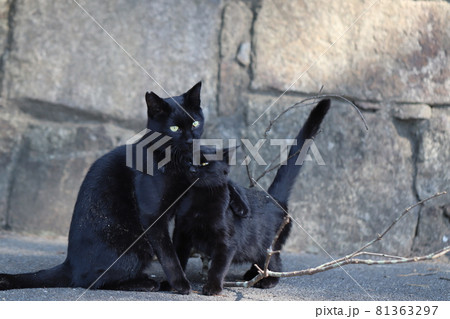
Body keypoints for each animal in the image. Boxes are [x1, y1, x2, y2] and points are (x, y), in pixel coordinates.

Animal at [0, 83, 208, 296]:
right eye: (174, 128)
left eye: (195, 124)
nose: (191, 140)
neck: (174, 162)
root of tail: (71, 264)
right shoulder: (152, 217)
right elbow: (168, 254)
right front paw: (180, 284)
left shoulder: (180, 213)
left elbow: (178, 249)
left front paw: (174, 282)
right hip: (134, 247)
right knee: (92, 281)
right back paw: (144, 282)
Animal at [172, 99, 330, 296]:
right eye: (188, 160)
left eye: (204, 162)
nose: (192, 169)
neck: (198, 200)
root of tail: (272, 197)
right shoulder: (181, 234)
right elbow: (177, 260)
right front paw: (174, 283)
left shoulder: (226, 243)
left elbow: (218, 267)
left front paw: (213, 287)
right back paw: (252, 274)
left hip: (267, 245)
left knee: (275, 264)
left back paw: (266, 280)